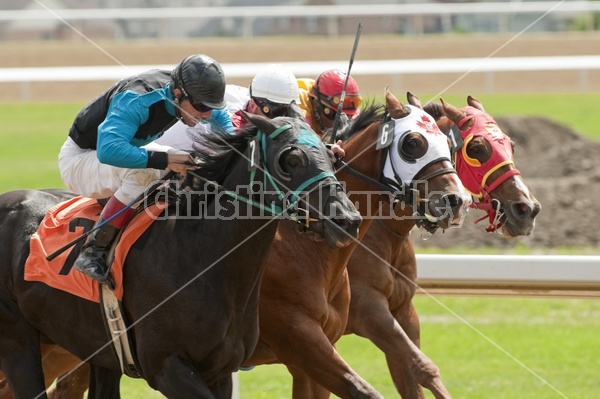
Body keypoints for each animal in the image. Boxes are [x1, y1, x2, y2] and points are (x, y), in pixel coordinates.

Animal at [0, 113, 360, 399]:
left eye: (330, 154)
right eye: (292, 159)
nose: (347, 219)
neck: (200, 258)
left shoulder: (220, 370)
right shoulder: (167, 367)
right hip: (19, 340)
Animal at [340, 94, 540, 399]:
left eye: (511, 145)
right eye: (477, 148)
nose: (526, 209)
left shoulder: (403, 311)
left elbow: (411, 378)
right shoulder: (367, 310)